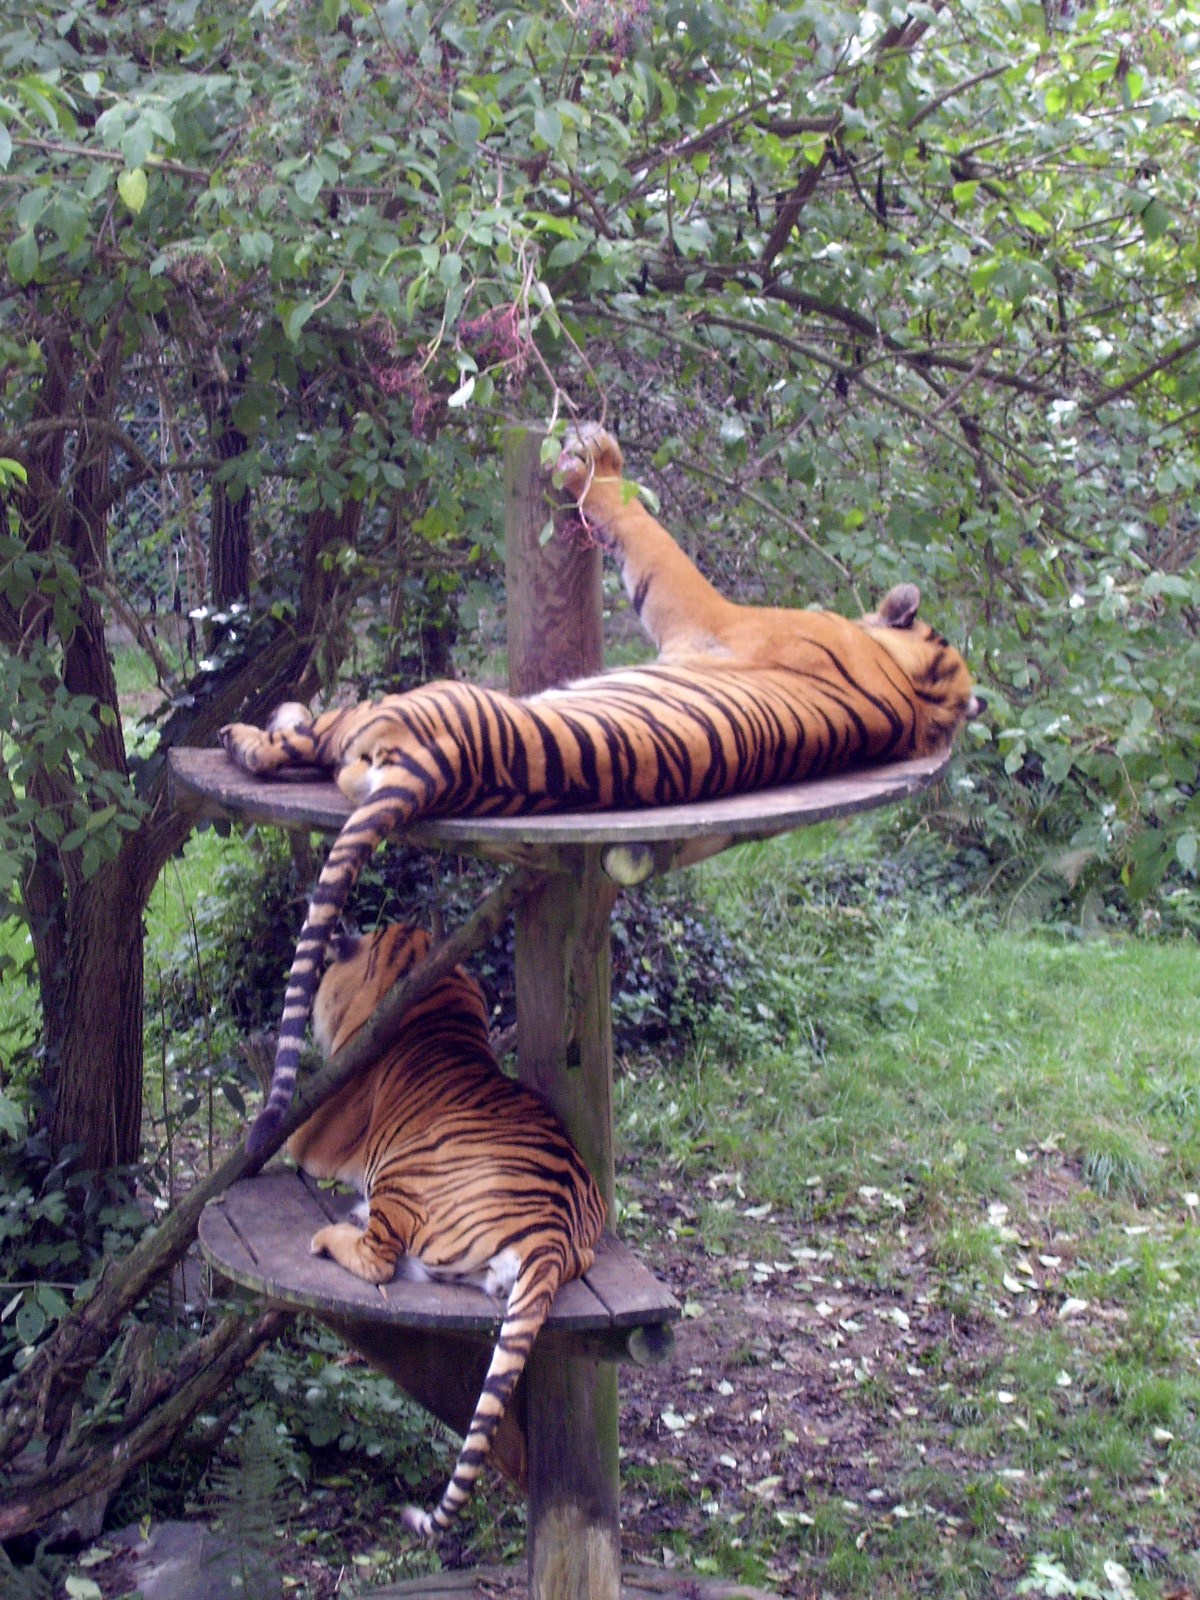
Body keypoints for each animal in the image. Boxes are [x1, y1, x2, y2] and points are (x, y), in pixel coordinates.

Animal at [222, 422, 980, 1156]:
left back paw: (250, 727)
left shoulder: (704, 611)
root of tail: (439, 765)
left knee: (296, 745)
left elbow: (649, 535)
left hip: (386, 706)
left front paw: (597, 462)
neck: (915, 690)